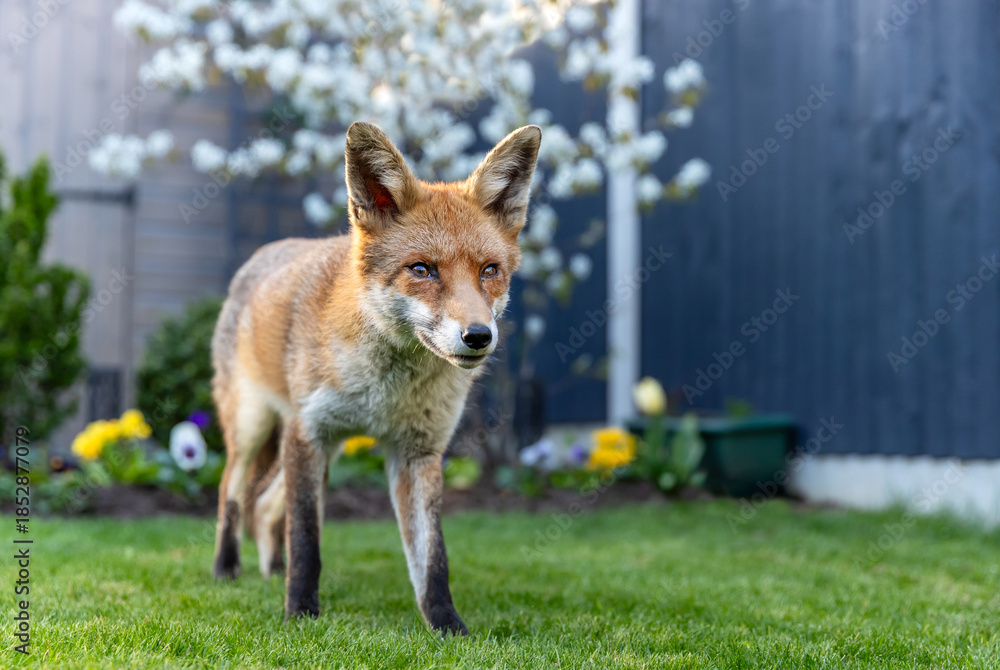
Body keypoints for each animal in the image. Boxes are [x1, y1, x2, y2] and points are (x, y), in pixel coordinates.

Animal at [210, 121, 541, 635]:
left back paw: (272, 569)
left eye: (490, 271)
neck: (387, 392)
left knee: (265, 505)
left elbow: (433, 559)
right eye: (422, 269)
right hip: (254, 427)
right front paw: (300, 614)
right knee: (232, 490)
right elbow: (307, 540)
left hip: (320, 448)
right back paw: (227, 568)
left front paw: (448, 627)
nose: (478, 336)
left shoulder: (417, 451)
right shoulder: (309, 432)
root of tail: (264, 253)